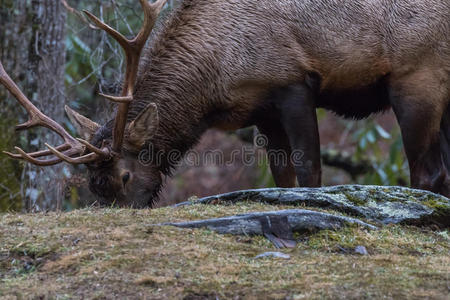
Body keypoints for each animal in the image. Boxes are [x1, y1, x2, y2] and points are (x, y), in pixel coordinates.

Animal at [0, 0, 448, 209]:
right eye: (94, 186)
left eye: (124, 177)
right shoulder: (264, 109)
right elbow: (282, 177)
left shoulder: (292, 81)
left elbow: (310, 171)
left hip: (418, 77)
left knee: (429, 173)